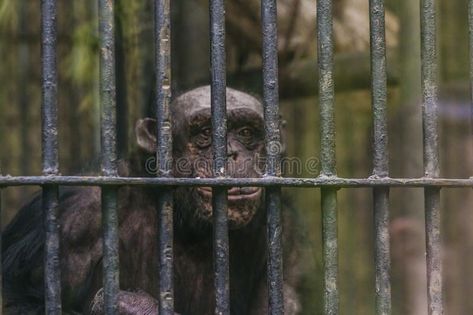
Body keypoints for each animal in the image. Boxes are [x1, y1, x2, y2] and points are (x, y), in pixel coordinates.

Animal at [2, 86, 298, 315]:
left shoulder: (282, 233)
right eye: (205, 133)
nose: (230, 153)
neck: (185, 221)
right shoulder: (73, 219)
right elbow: (19, 300)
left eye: (246, 132)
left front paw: (134, 307)